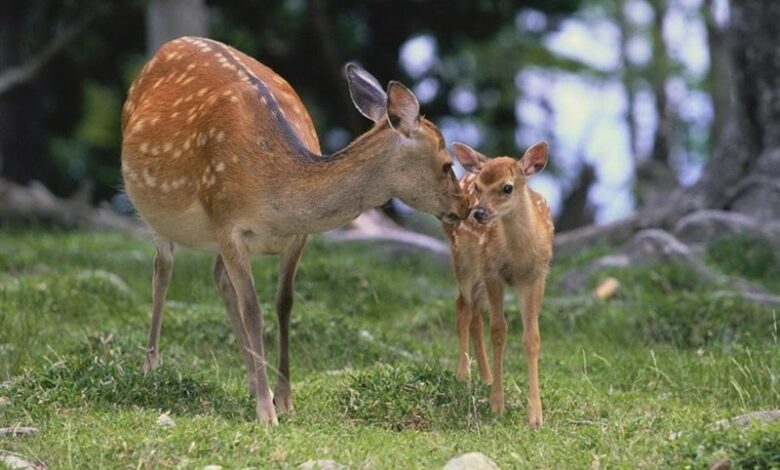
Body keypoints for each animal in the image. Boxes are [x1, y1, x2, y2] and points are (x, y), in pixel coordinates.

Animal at [119, 37, 466, 426]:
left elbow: (283, 304)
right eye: (446, 164)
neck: (276, 195)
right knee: (162, 272)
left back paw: (254, 382)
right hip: (155, 212)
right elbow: (253, 310)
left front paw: (283, 399)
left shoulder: (297, 237)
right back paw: (151, 367)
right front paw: (266, 412)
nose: (466, 207)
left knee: (218, 278)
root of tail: (167, 46)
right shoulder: (227, 222)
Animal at [444, 141, 556, 428]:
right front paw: (497, 404)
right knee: (462, 307)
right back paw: (464, 375)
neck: (518, 255)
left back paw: (485, 377)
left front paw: (535, 416)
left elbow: (532, 337)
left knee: (475, 313)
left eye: (507, 187)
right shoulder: (493, 272)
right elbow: (498, 331)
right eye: (478, 187)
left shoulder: (536, 276)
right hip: (464, 260)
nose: (478, 212)